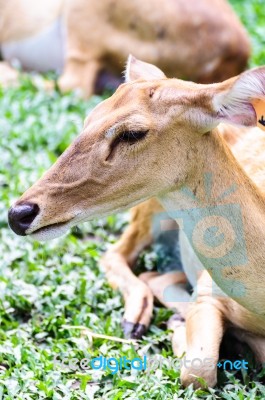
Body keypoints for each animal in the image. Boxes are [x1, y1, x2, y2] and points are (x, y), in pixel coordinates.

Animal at [8, 57, 265, 388]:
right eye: (89, 117)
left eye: (132, 133)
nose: (19, 213)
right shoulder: (210, 290)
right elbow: (198, 370)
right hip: (149, 207)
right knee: (121, 256)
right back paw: (138, 321)